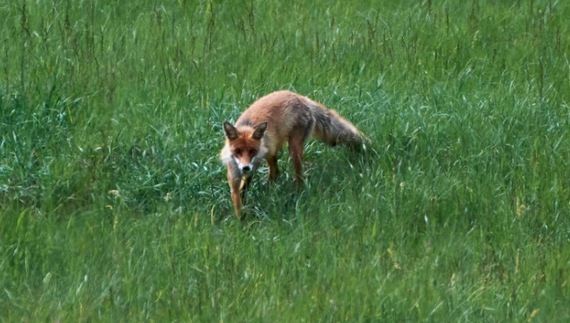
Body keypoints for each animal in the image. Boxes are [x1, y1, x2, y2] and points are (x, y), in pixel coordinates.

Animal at [219, 90, 364, 219]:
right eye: (237, 151)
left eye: (252, 151)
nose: (245, 167)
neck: (247, 126)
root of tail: (301, 97)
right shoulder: (234, 172)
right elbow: (237, 194)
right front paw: (240, 217)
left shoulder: (259, 158)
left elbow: (246, 184)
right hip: (273, 148)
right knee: (276, 172)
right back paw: (268, 189)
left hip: (293, 149)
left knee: (298, 176)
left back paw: (296, 195)